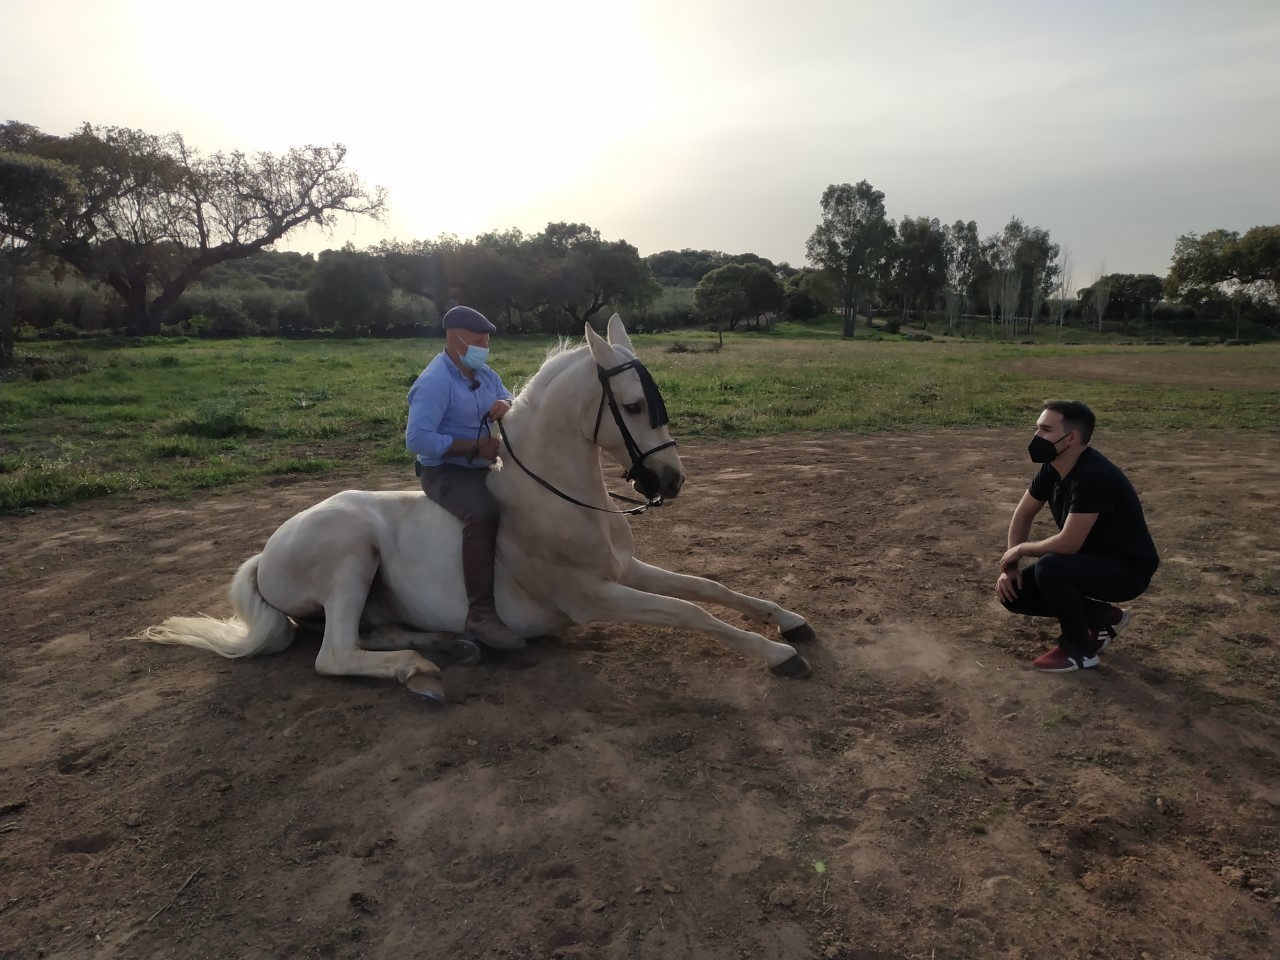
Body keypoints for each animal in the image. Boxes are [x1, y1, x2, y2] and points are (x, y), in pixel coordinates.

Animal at [140, 316, 814, 701]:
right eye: (633, 406)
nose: (670, 482)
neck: (562, 502)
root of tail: (264, 555)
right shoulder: (596, 596)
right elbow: (687, 612)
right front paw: (781, 657)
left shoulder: (626, 572)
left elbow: (709, 587)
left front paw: (790, 621)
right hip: (352, 551)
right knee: (335, 653)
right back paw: (422, 669)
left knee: (369, 632)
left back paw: (453, 644)